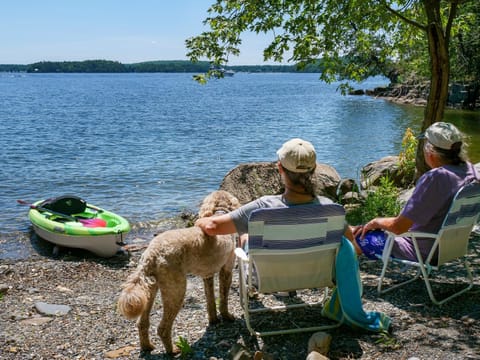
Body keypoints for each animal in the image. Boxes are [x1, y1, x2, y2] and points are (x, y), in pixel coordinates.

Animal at [118, 191, 242, 354]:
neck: (218, 213)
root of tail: (151, 254)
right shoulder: (227, 269)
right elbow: (223, 298)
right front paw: (227, 316)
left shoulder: (207, 275)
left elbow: (210, 300)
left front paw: (213, 320)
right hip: (176, 289)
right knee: (163, 328)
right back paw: (173, 350)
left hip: (151, 289)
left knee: (142, 323)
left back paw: (147, 347)